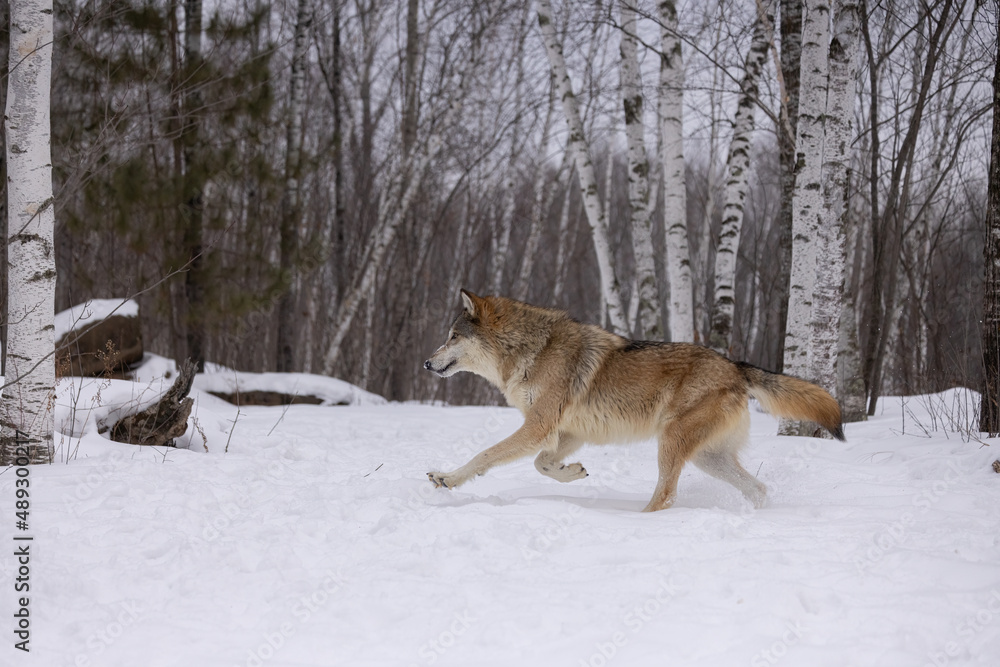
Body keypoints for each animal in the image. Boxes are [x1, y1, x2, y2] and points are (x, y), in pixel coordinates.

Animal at [423, 290, 844, 512]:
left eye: (452, 336)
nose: (426, 362)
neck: (531, 350)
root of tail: (737, 367)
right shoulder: (567, 431)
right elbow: (543, 464)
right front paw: (572, 473)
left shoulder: (538, 426)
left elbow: (485, 455)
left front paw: (447, 479)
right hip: (709, 459)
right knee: (757, 488)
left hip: (671, 444)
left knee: (666, 495)